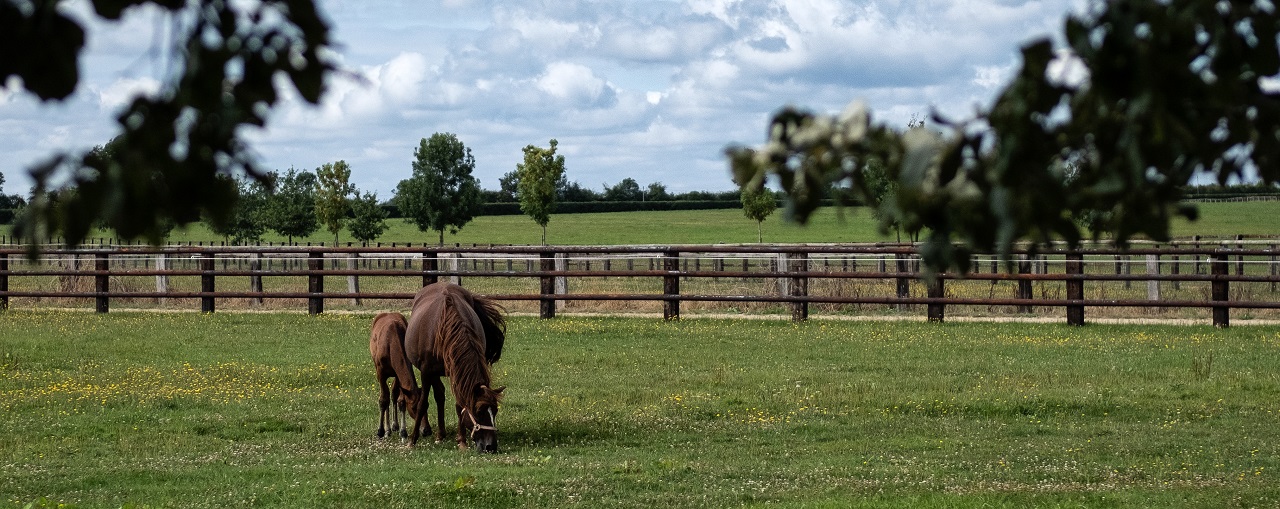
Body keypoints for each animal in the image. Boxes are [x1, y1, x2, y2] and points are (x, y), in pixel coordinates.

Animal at [409, 282, 509, 452]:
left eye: (495, 411)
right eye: (478, 411)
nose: (491, 446)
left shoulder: (457, 373)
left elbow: (459, 405)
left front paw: (461, 440)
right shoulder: (426, 371)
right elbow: (422, 403)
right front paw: (412, 440)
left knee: (440, 395)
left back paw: (441, 434)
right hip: (433, 372)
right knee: (439, 395)